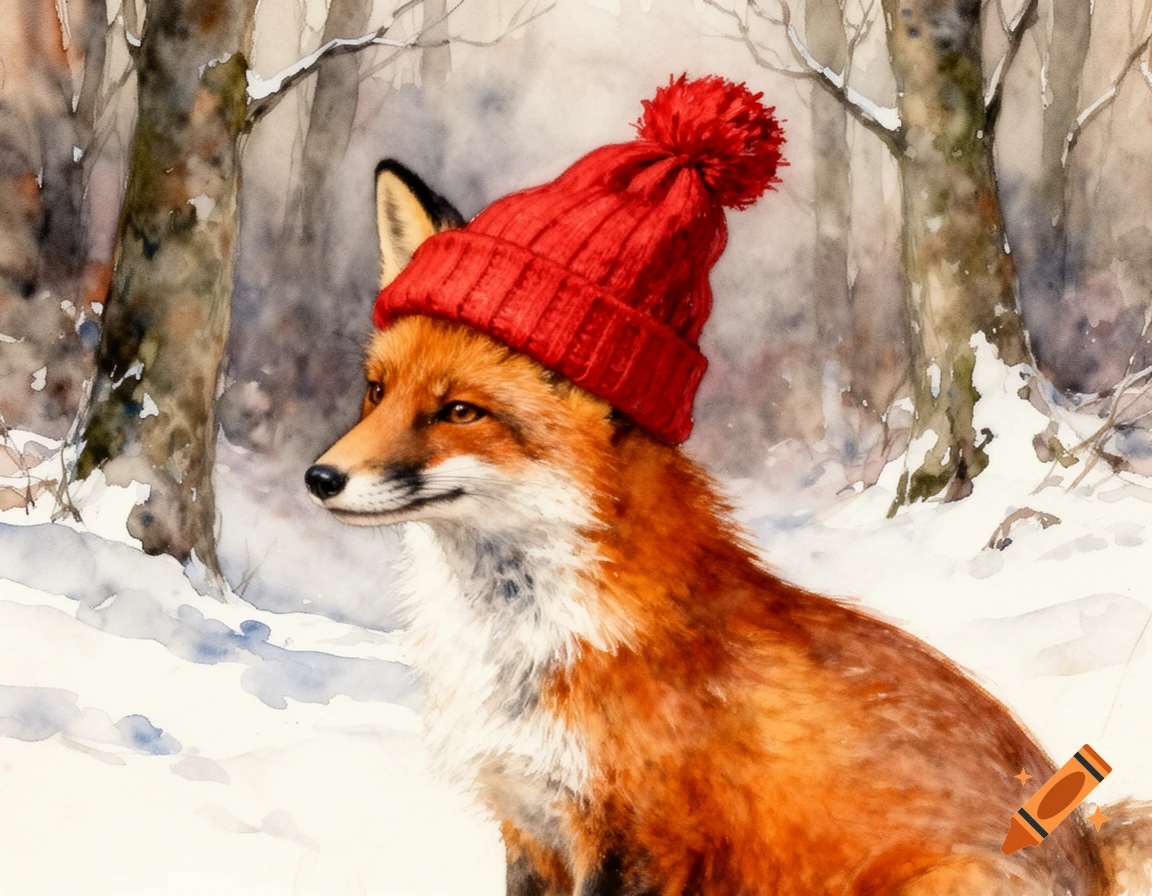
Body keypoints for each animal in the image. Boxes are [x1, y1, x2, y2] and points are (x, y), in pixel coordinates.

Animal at [306, 146, 1152, 894]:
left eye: (459, 412)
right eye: (376, 391)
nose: (319, 479)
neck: (531, 645)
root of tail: (1089, 853)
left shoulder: (643, 840)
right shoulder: (530, 827)